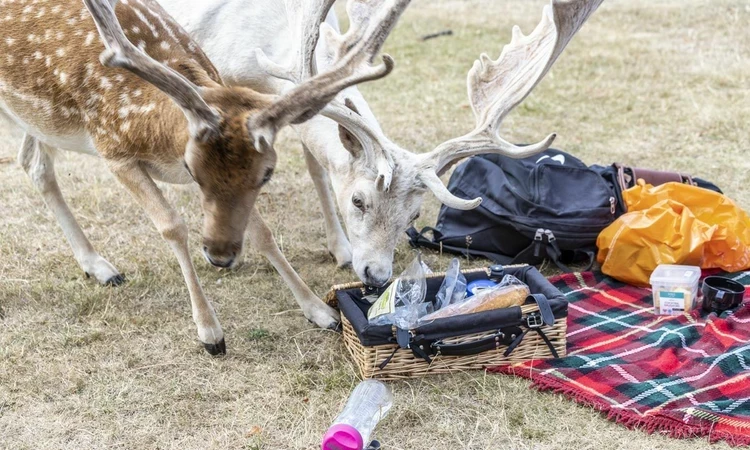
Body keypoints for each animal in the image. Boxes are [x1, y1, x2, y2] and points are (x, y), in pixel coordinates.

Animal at [0, 0, 412, 354]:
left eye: (267, 174)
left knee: (33, 164)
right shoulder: (113, 151)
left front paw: (321, 312)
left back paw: (97, 266)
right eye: (192, 169)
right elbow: (172, 226)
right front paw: (210, 333)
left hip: (36, 120)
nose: (218, 255)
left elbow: (262, 233)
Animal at [162, 0, 608, 298]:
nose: (377, 276)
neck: (260, 48)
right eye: (359, 201)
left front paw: (339, 248)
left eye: (414, 215)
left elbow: (317, 165)